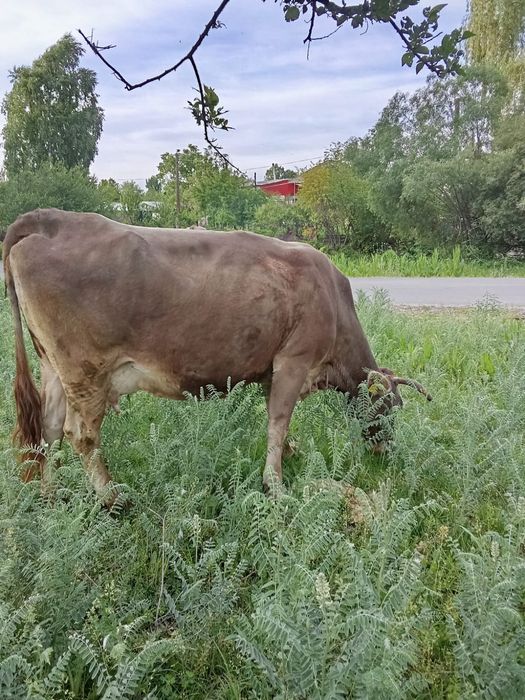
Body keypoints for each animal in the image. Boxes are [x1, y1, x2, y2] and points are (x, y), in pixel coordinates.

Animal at [3, 208, 431, 502]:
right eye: (391, 408)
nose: (384, 451)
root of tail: (50, 219)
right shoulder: (294, 359)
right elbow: (278, 420)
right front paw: (276, 485)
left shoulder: (273, 368)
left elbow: (279, 420)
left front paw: (290, 454)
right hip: (84, 369)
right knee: (81, 434)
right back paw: (112, 498)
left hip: (53, 365)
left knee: (48, 428)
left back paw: (50, 494)